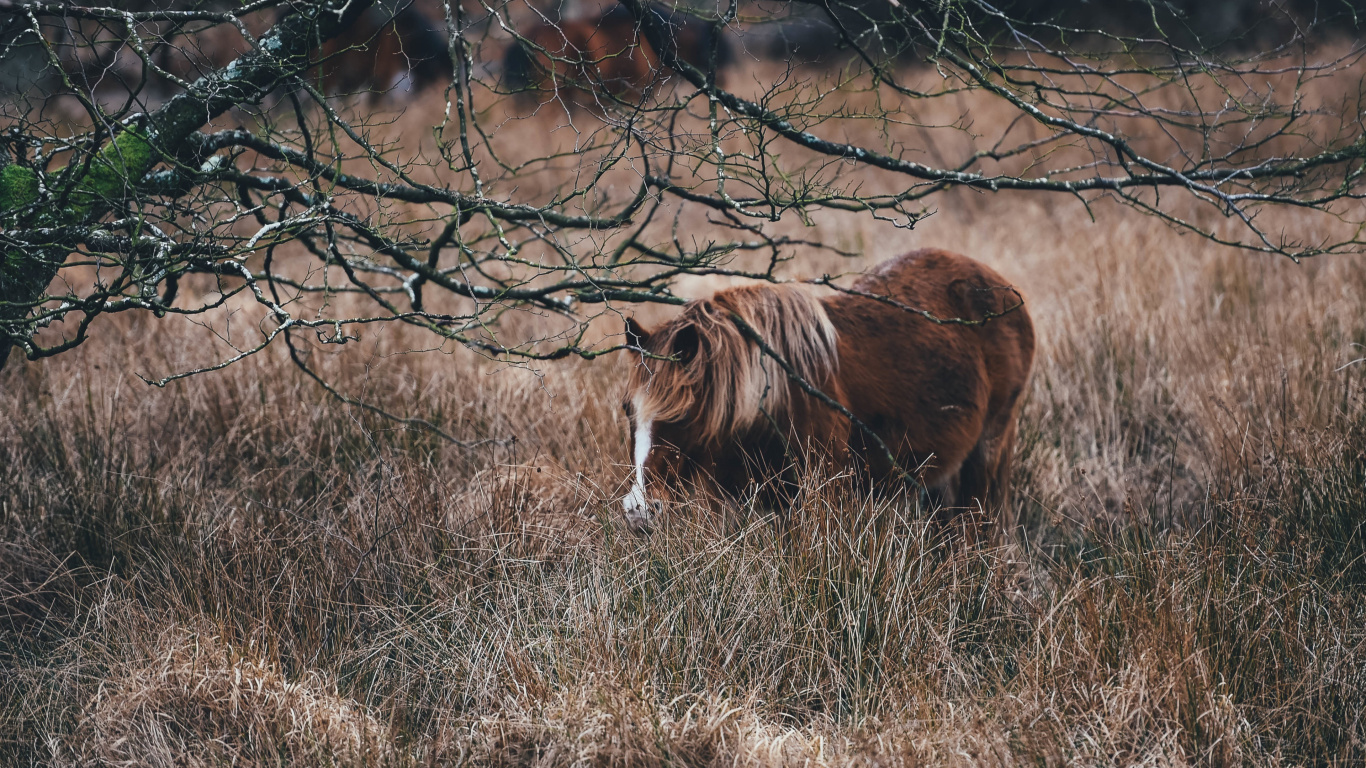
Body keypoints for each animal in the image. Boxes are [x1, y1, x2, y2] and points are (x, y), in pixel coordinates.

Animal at [620, 248, 1036, 537]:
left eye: (682, 415)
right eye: (627, 410)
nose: (639, 510)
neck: (772, 398)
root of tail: (1006, 292)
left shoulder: (822, 495)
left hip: (989, 448)